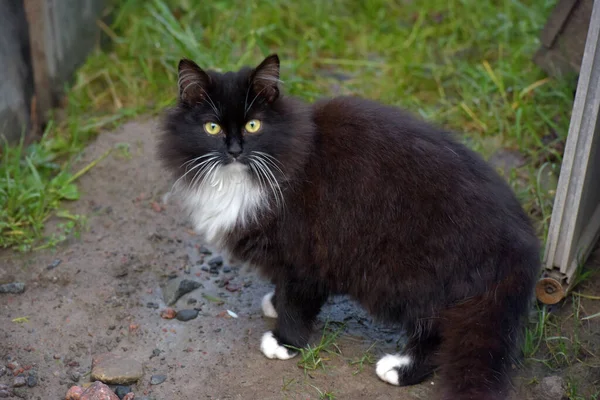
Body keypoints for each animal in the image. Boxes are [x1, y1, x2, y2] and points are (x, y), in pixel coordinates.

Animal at [159, 54, 540, 400]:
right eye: (212, 127)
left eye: (253, 125)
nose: (236, 149)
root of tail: (521, 243)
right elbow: (283, 290)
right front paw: (274, 303)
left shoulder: (307, 255)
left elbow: (297, 303)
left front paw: (285, 343)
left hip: (409, 275)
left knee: (436, 331)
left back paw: (400, 369)